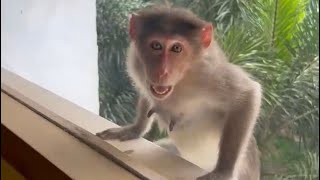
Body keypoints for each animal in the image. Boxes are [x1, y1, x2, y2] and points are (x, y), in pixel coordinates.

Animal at [96, 5, 262, 180]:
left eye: (176, 48)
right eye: (156, 45)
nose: (162, 72)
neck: (182, 80)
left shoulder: (208, 73)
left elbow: (247, 94)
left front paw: (223, 172)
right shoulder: (135, 61)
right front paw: (135, 129)